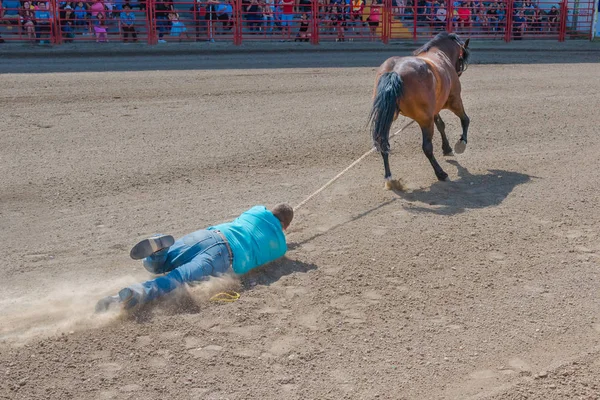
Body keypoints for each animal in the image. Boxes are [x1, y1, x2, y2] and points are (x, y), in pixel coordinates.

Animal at [368, 30, 472, 190]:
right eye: (462, 58)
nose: (459, 70)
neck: (439, 53)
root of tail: (395, 72)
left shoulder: (434, 109)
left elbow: (441, 125)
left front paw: (447, 148)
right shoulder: (454, 100)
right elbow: (465, 119)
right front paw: (461, 143)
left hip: (386, 116)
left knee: (383, 143)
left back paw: (389, 178)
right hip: (425, 120)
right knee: (427, 148)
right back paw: (441, 173)